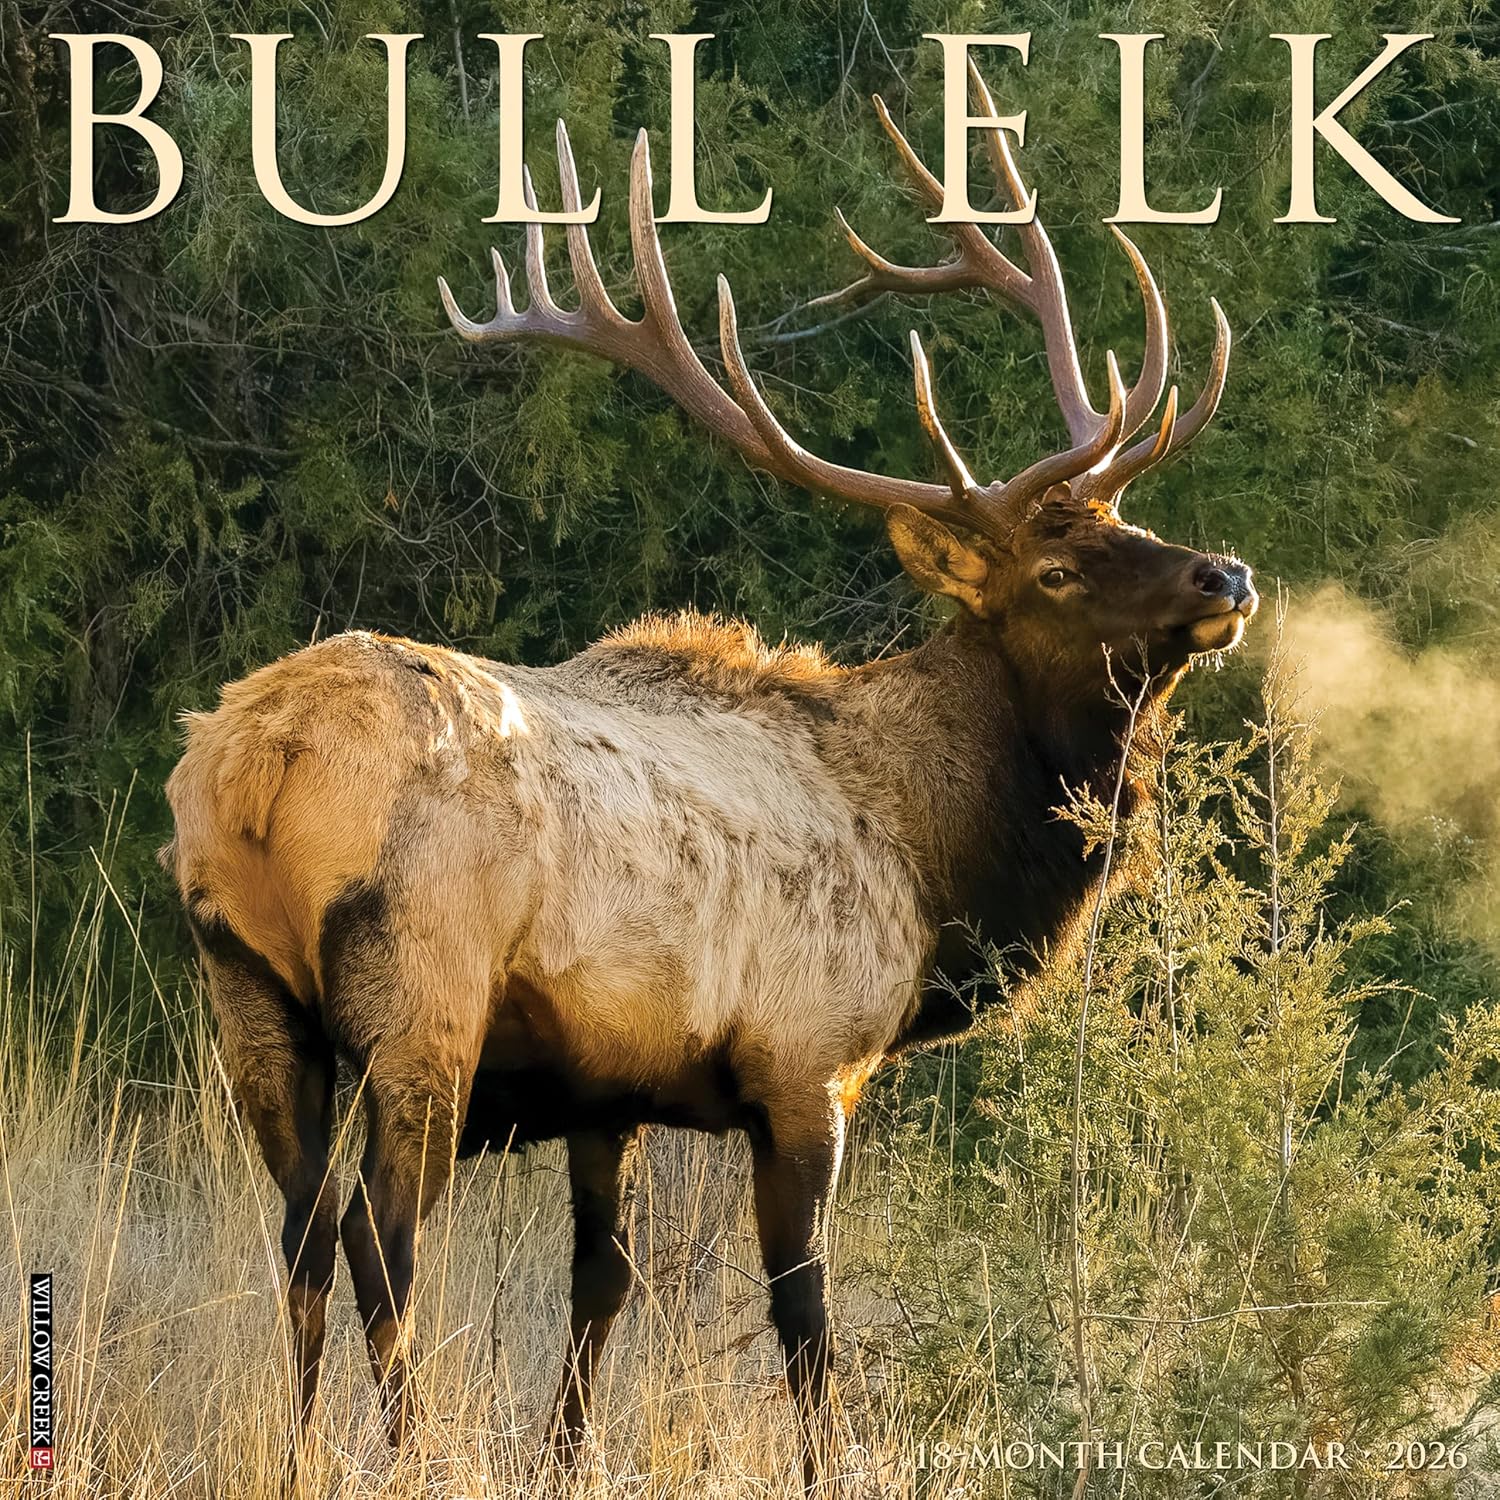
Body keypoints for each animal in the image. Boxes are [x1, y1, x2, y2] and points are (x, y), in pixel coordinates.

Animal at [164, 61, 1255, 1494]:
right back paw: (403, 1453)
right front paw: (828, 1461)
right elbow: (805, 1314)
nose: (1226, 575)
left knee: (295, 1239)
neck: (936, 857)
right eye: (1060, 570)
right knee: (377, 1245)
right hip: (422, 998)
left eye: (1132, 519)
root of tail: (258, 764)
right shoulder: (808, 1060)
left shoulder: (606, 1087)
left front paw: (564, 1456)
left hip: (247, 994)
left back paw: (295, 1456)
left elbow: (603, 1285)